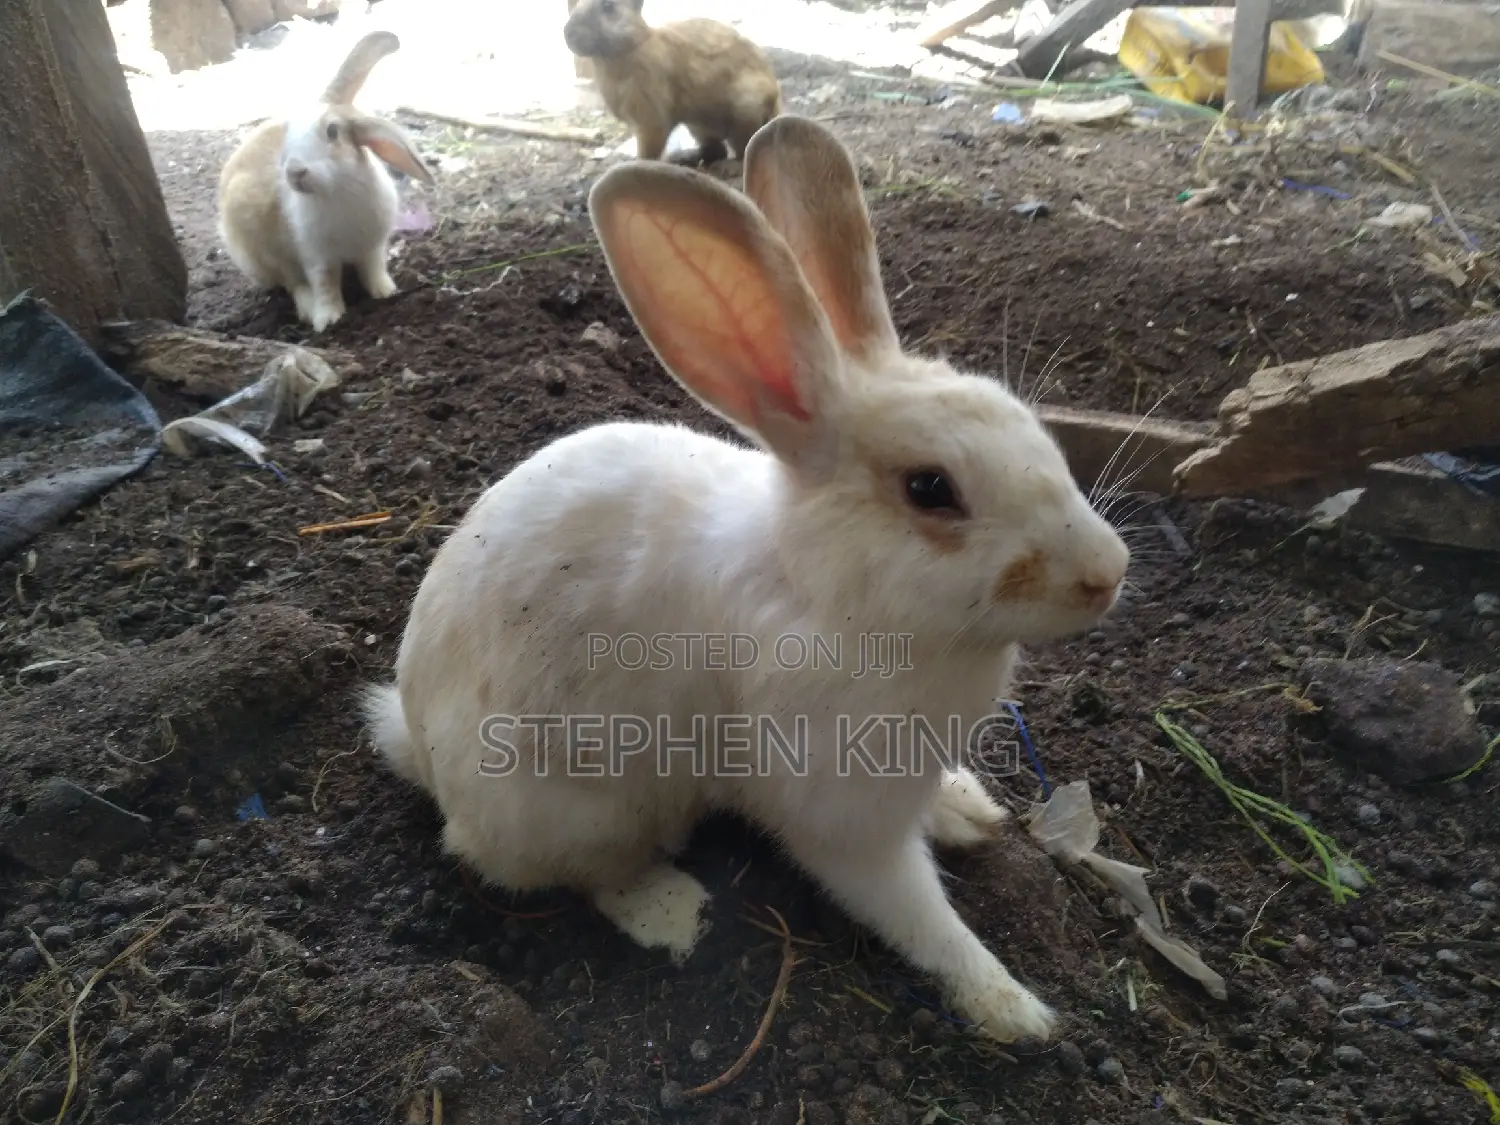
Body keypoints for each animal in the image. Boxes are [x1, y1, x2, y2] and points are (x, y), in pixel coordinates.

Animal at [216, 30, 434, 332]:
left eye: (332, 132)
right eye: (288, 135)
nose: (295, 172)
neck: (337, 190)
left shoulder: (372, 247)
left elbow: (373, 269)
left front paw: (385, 292)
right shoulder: (316, 256)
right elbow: (325, 283)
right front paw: (329, 319)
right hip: (261, 250)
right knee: (293, 283)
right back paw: (309, 310)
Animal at [362, 115, 1129, 1045]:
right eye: (930, 489)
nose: (1109, 574)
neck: (829, 592)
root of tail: (413, 737)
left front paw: (969, 812)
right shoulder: (843, 815)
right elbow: (915, 912)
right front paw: (1012, 1007)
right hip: (581, 806)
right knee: (579, 871)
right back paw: (671, 910)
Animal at [563, 0, 781, 164]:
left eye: (608, 6)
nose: (568, 33)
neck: (633, 46)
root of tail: (774, 97)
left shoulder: (651, 118)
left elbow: (649, 150)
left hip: (743, 112)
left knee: (743, 148)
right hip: (697, 126)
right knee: (716, 150)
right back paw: (687, 159)